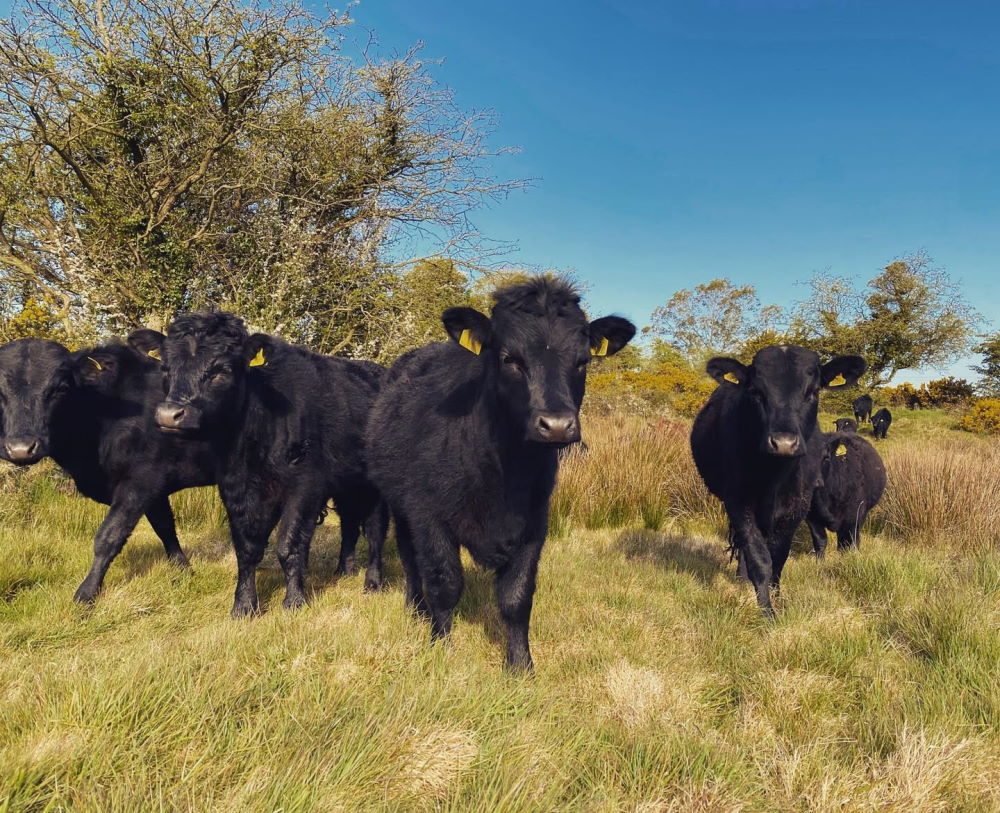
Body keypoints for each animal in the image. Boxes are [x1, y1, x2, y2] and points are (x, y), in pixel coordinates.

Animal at [0, 336, 217, 604]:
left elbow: (109, 536)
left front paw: (86, 593)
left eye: (60, 388)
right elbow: (165, 527)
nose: (21, 448)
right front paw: (184, 571)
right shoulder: (154, 487)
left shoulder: (141, 480)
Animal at [146, 312, 388, 616]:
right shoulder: (236, 487)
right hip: (346, 484)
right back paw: (344, 570)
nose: (170, 414)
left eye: (222, 370)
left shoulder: (304, 486)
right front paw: (244, 605)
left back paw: (373, 583)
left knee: (375, 531)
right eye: (166, 368)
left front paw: (294, 601)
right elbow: (247, 548)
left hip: (374, 487)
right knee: (350, 524)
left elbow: (289, 545)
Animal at [366, 276, 632, 668]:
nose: (556, 425)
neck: (506, 474)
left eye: (582, 361)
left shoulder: (535, 523)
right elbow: (445, 583)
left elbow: (517, 596)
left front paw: (521, 664)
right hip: (399, 506)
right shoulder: (428, 516)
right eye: (509, 359)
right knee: (410, 558)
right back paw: (417, 609)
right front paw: (440, 649)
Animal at [688, 344, 868, 616]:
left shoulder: (797, 506)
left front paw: (776, 596)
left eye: (813, 391)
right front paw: (767, 612)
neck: (774, 477)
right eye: (756, 392)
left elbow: (779, 557)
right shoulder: (738, 502)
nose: (784, 443)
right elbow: (759, 558)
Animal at [808, 432, 888, 560]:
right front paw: (819, 561)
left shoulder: (854, 514)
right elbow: (820, 540)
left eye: (825, 457)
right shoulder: (812, 515)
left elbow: (851, 539)